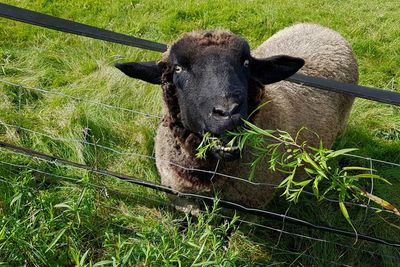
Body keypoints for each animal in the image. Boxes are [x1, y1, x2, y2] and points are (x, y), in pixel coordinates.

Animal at [114, 24, 358, 215]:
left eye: (246, 63)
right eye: (178, 68)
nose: (228, 111)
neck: (207, 175)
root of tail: (323, 28)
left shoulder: (246, 205)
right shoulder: (180, 196)